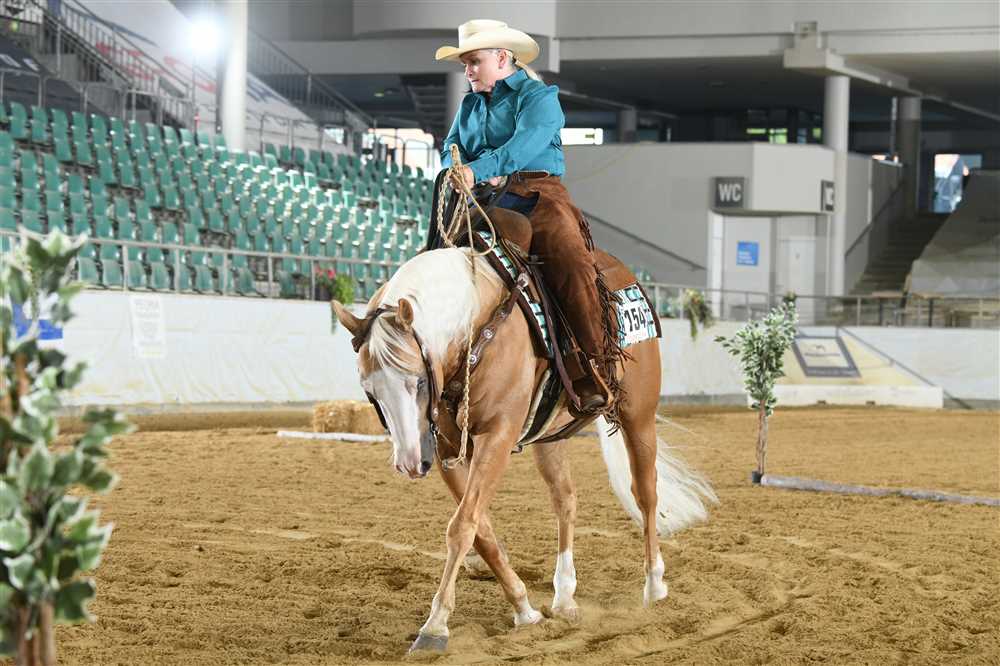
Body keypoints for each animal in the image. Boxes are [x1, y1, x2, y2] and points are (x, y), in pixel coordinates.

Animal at [332, 240, 717, 655]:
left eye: (418, 382)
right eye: (369, 390)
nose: (408, 462)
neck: (476, 324)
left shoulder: (497, 437)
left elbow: (462, 526)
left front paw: (435, 626)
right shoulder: (448, 450)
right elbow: (480, 530)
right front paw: (523, 608)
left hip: (639, 416)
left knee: (646, 495)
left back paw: (654, 585)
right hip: (550, 437)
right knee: (565, 499)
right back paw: (563, 596)